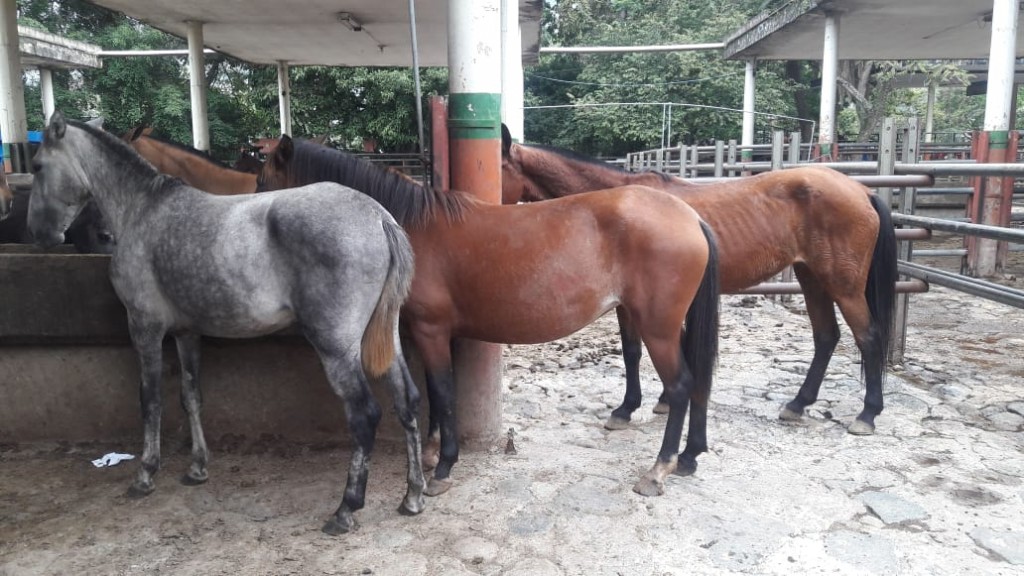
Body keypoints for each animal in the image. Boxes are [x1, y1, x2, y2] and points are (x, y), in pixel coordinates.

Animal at [257, 135, 721, 498]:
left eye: (262, 182)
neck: (408, 226)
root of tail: (691, 218)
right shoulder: (432, 333)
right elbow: (435, 393)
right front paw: (432, 453)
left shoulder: (431, 330)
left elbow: (443, 391)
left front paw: (444, 466)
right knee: (697, 380)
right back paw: (688, 457)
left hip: (657, 328)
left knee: (681, 386)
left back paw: (658, 469)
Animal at [501, 126, 897, 436]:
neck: (616, 209)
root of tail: (862, 191)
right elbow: (638, 351)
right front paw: (651, 403)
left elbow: (641, 352)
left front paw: (630, 408)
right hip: (812, 278)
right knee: (826, 336)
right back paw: (798, 404)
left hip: (844, 285)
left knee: (867, 337)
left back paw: (867, 414)